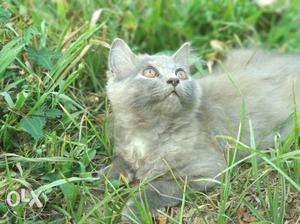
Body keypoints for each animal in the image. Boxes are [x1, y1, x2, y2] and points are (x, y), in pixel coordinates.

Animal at [105, 37, 300, 221]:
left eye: (181, 73)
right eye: (150, 72)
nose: (174, 80)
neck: (150, 132)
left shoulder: (207, 169)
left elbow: (159, 187)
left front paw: (134, 209)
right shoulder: (126, 151)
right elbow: (118, 164)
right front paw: (102, 178)